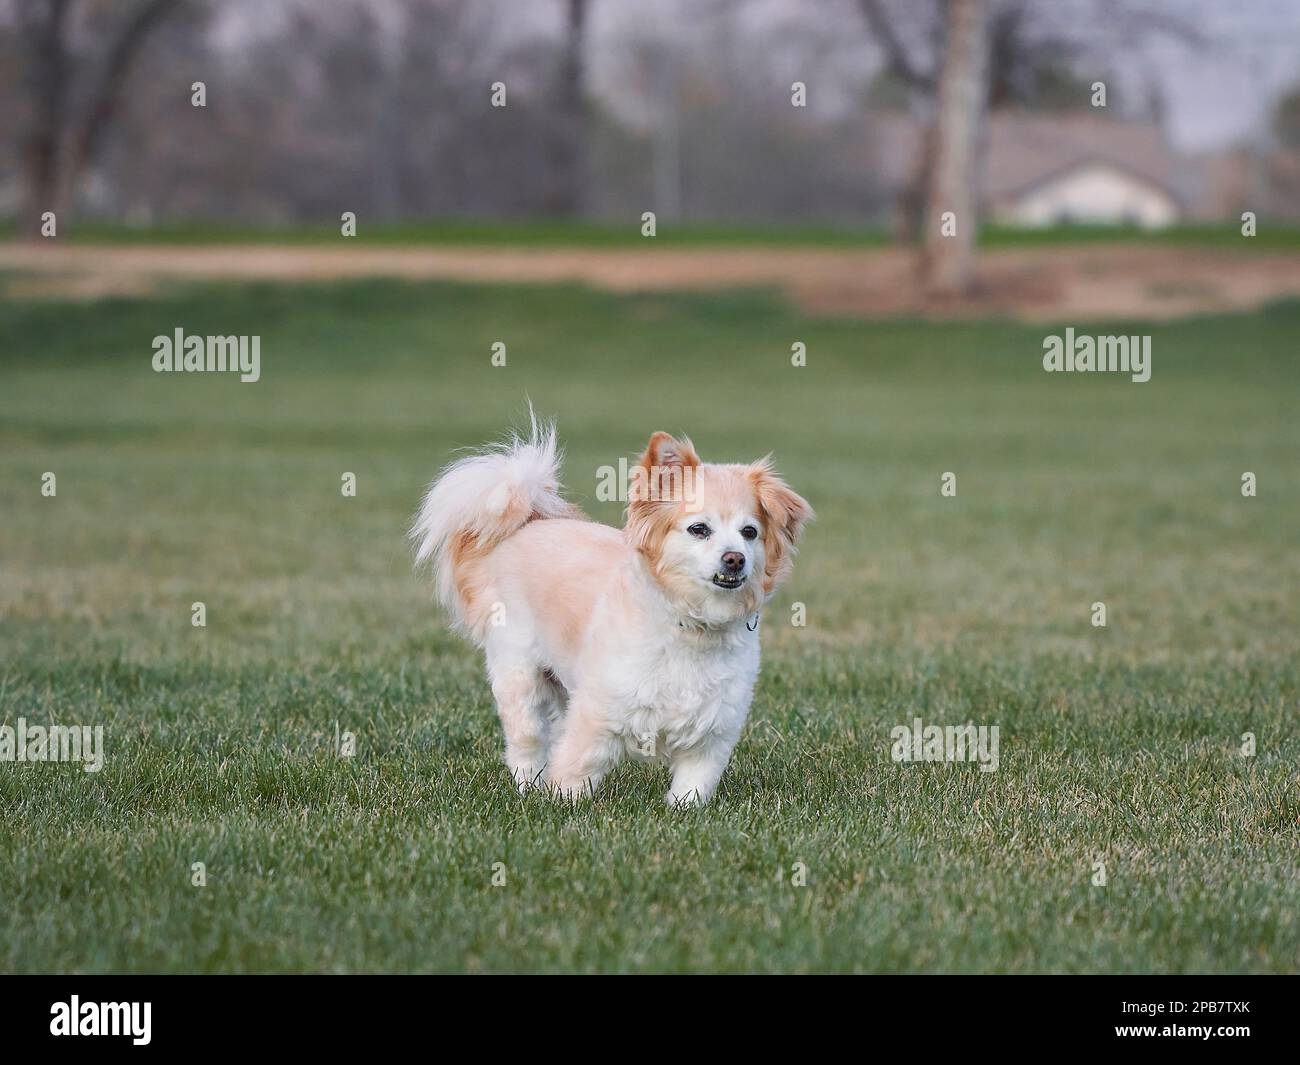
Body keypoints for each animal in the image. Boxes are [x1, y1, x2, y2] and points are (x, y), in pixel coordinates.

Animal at [410, 421, 806, 806]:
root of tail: (528, 523)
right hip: (519, 673)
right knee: (527, 741)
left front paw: (683, 812)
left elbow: (693, 786)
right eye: (699, 529)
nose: (734, 559)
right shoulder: (595, 713)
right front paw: (562, 806)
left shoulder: (712, 733)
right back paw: (529, 788)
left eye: (749, 533)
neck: (692, 623)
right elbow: (576, 767)